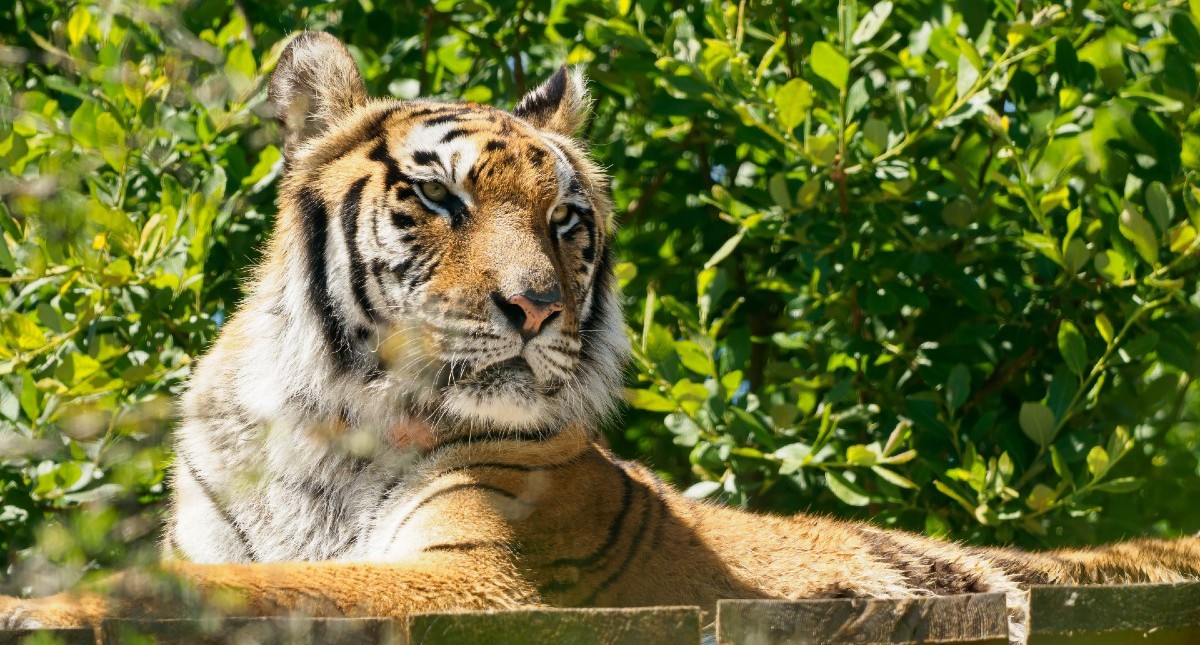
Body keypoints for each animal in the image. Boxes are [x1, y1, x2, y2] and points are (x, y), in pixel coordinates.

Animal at [2, 31, 1200, 642]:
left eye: (565, 223)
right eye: (437, 196)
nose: (538, 308)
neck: (326, 426)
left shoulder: (483, 579)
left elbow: (252, 591)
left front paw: (42, 601)